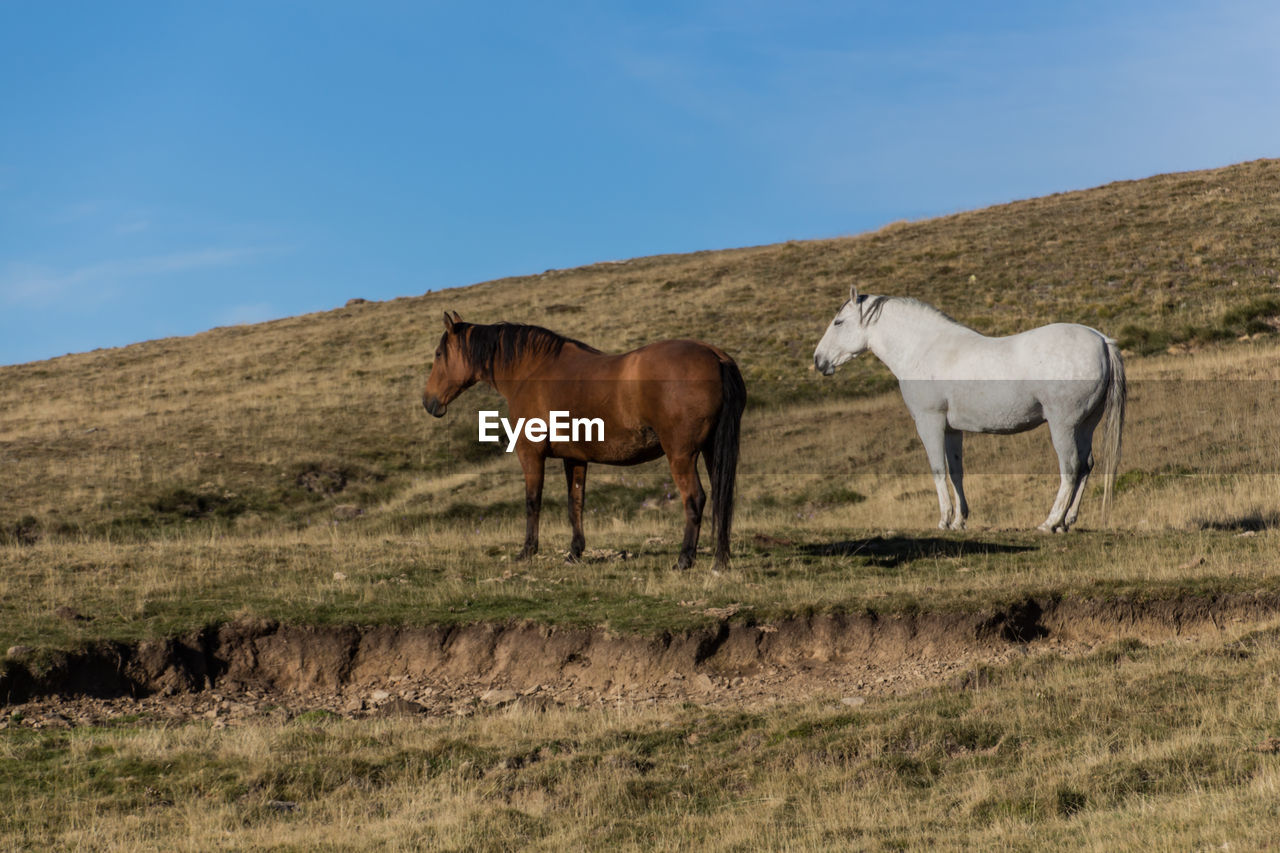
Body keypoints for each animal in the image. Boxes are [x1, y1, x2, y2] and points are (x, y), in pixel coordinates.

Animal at [422, 311, 742, 563]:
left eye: (438, 355)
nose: (428, 402)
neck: (532, 371)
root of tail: (715, 355)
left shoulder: (530, 453)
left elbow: (532, 501)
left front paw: (527, 551)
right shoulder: (574, 458)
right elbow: (575, 502)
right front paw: (575, 552)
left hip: (681, 455)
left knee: (695, 498)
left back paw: (684, 559)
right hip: (712, 451)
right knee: (720, 498)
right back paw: (720, 559)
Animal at [814, 289, 1126, 527]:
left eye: (838, 322)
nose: (818, 360)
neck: (924, 349)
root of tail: (1101, 340)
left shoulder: (929, 422)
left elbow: (938, 469)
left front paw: (944, 520)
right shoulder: (952, 430)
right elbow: (955, 471)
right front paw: (959, 521)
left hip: (1063, 425)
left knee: (1070, 467)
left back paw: (1050, 522)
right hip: (1085, 425)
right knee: (1086, 465)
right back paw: (1067, 521)